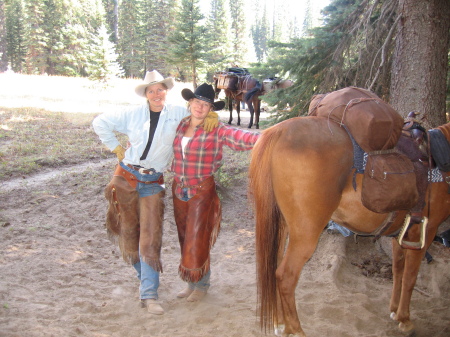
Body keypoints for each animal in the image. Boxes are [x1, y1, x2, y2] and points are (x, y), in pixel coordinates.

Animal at [250, 115, 450, 334]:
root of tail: (279, 131)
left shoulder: (400, 235)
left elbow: (398, 270)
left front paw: (394, 310)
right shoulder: (424, 233)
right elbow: (410, 277)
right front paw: (405, 320)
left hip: (281, 226)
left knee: (273, 267)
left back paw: (279, 323)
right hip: (306, 234)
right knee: (285, 276)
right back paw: (296, 330)